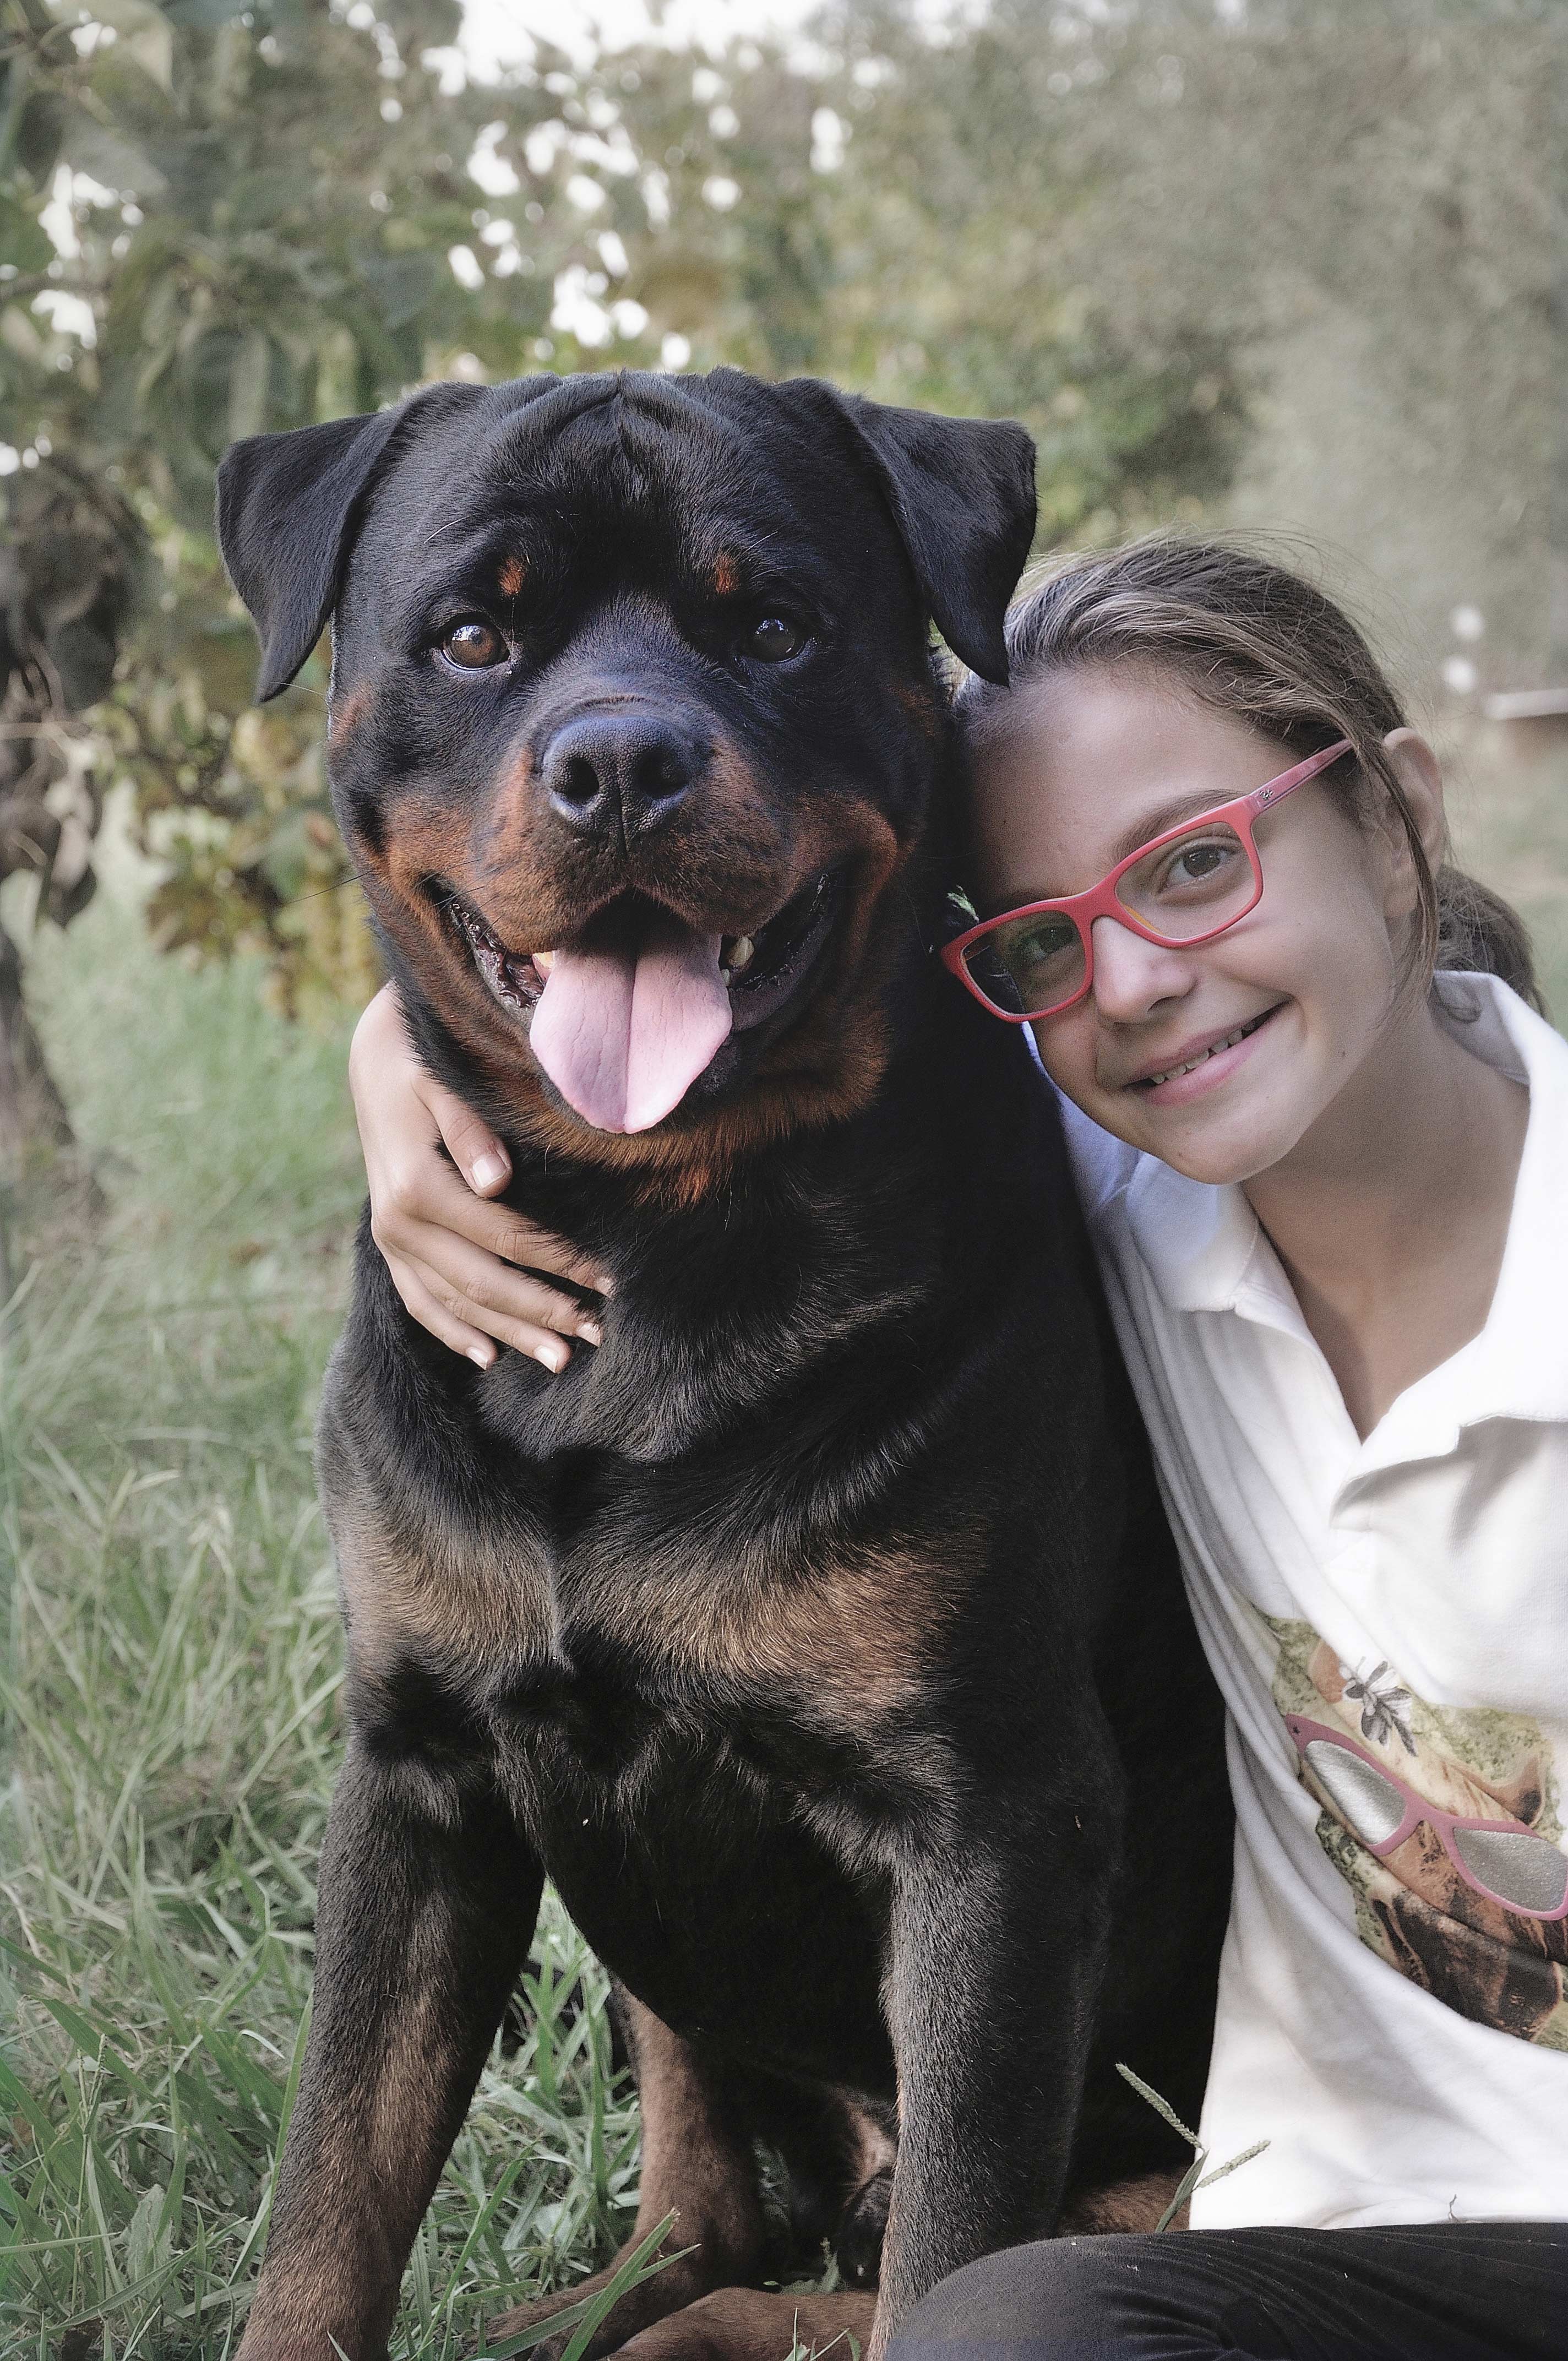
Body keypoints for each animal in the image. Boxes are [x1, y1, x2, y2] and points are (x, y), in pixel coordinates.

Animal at [215, 368, 1228, 2361]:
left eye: (770, 625)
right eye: (475, 635)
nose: (620, 761)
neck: (653, 1246)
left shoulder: (992, 1825)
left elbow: (951, 2254)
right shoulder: (421, 1776)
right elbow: (329, 2189)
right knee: (706, 2194)